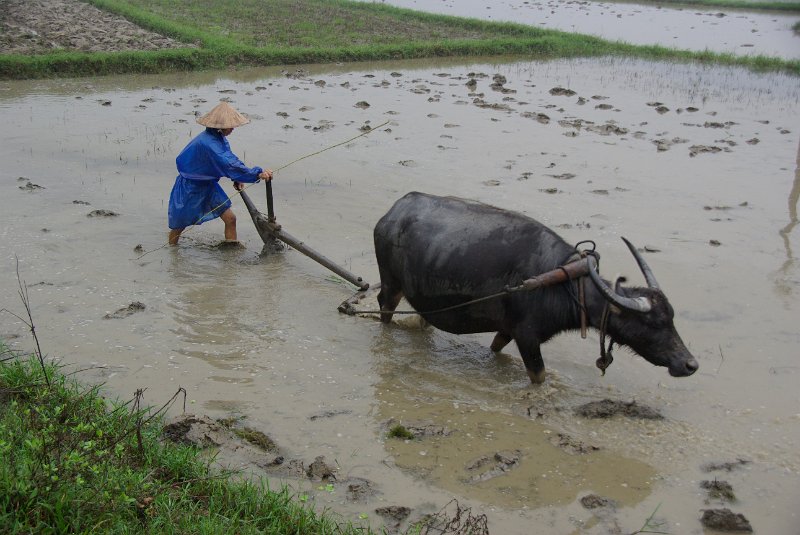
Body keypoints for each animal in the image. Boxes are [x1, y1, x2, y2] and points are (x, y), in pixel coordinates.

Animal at [372, 193, 696, 386]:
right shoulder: (528, 337)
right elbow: (539, 376)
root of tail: (392, 213)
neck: (564, 285)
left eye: (671, 318)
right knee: (384, 307)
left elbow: (496, 348)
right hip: (390, 283)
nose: (690, 364)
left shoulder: (508, 330)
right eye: (652, 323)